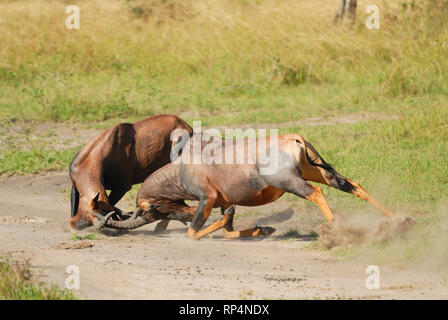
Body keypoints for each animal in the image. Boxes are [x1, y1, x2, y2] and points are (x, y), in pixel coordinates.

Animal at [94, 131, 396, 240]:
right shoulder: (224, 201)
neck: (186, 165)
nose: (184, 215)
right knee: (351, 184)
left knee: (316, 193)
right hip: (317, 170)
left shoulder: (207, 199)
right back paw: (398, 219)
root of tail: (294, 139)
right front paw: (263, 229)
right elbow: (229, 230)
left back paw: (338, 231)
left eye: (149, 210)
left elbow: (194, 232)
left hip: (292, 181)